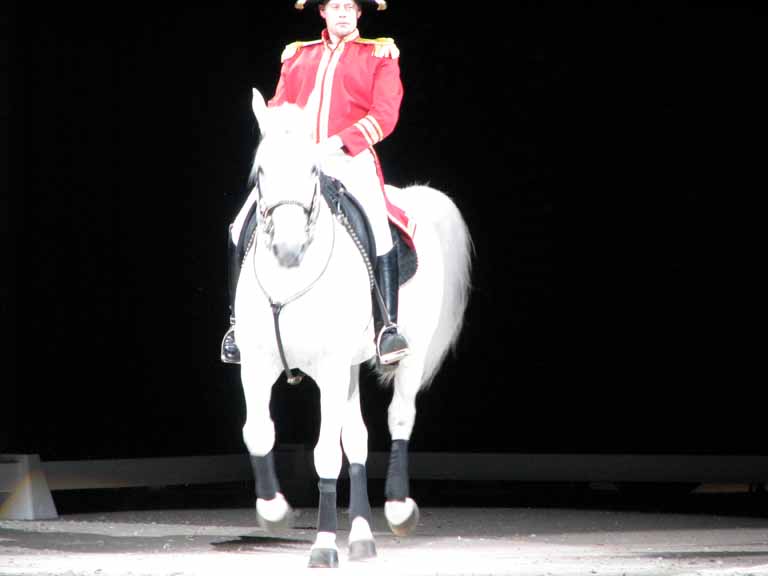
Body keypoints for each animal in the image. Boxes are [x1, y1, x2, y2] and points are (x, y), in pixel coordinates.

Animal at [234, 90, 474, 568]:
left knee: (399, 416)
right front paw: (274, 511)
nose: (287, 249)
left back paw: (398, 509)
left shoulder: (328, 369)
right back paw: (362, 536)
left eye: (312, 169)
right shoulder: (256, 364)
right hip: (346, 369)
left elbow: (326, 454)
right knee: (358, 440)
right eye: (262, 170)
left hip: (408, 355)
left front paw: (324, 545)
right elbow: (259, 432)